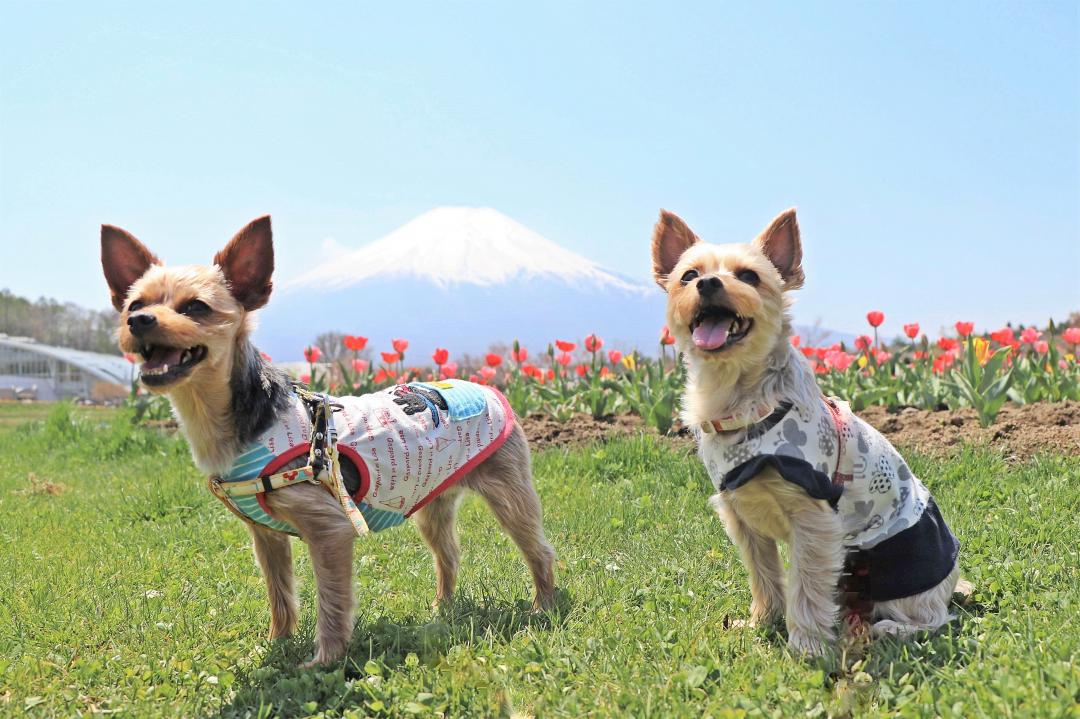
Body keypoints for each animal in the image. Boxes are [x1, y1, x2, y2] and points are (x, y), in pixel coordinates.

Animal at [100, 215, 557, 665]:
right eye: (134, 305)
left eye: (196, 307)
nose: (139, 321)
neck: (230, 418)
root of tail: (487, 386)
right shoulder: (266, 535)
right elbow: (280, 594)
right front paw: (277, 644)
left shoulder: (330, 529)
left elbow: (332, 601)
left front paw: (325, 660)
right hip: (433, 495)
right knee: (448, 553)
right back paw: (441, 609)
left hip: (507, 488)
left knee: (537, 546)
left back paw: (544, 606)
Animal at [648, 208, 963, 656]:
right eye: (688, 275)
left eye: (749, 276)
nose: (708, 283)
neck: (737, 397)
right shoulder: (741, 514)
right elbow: (764, 574)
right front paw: (762, 623)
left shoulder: (814, 520)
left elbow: (808, 585)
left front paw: (807, 645)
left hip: (900, 562)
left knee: (933, 618)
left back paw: (890, 629)